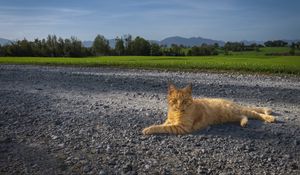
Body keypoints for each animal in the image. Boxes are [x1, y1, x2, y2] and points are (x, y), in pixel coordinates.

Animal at [142, 83, 276, 135]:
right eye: (175, 101)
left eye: (184, 101)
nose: (179, 106)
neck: (175, 113)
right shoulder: (170, 121)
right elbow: (163, 124)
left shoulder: (182, 127)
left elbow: (161, 127)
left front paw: (148, 129)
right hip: (231, 116)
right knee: (245, 116)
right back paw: (244, 123)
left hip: (234, 111)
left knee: (254, 113)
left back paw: (270, 118)